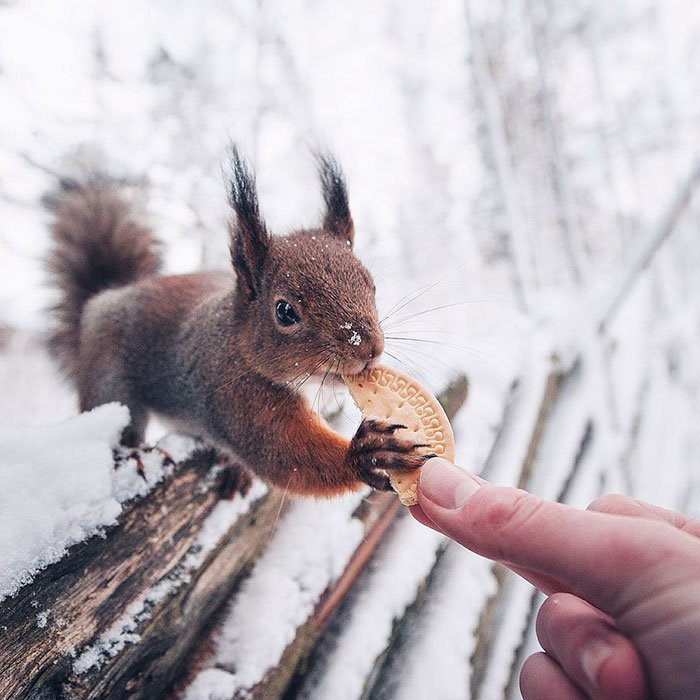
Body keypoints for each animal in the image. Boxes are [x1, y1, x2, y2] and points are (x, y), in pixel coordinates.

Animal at [43, 148, 432, 498]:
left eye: (372, 285)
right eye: (284, 312)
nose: (369, 347)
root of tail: (105, 296)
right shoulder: (236, 396)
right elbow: (287, 455)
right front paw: (366, 454)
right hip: (111, 383)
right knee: (118, 428)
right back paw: (134, 454)